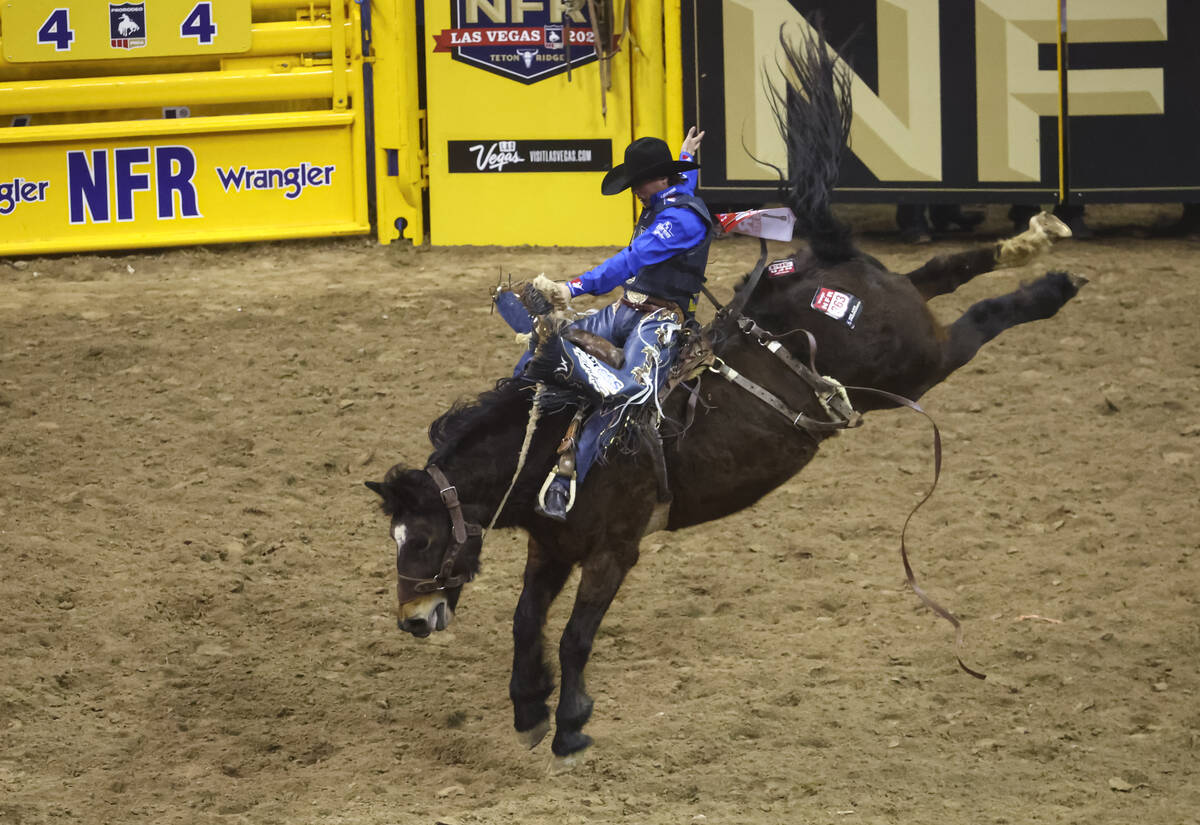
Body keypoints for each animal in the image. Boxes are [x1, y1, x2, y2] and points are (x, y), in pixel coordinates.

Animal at [360, 24, 1084, 762]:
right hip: (899, 322)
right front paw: (530, 705)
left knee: (977, 320)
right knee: (943, 269)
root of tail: (823, 257)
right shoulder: (551, 548)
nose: (411, 619)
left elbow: (574, 634)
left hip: (913, 366)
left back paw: (1049, 285)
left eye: (423, 539)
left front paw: (569, 723)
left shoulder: (614, 549)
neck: (556, 445)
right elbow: (525, 620)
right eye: (394, 538)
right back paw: (1034, 239)